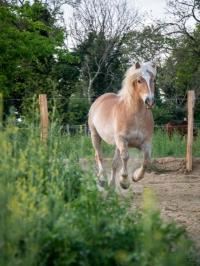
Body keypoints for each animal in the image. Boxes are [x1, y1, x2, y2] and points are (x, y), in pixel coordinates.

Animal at [88, 61, 156, 189]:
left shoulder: (145, 142)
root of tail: (99, 99)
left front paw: (135, 176)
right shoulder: (122, 140)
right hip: (95, 136)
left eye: (153, 79)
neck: (135, 115)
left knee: (114, 163)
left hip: (116, 144)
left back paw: (111, 184)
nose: (150, 101)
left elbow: (147, 160)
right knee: (99, 156)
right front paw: (124, 181)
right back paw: (102, 180)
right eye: (139, 80)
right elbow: (125, 157)